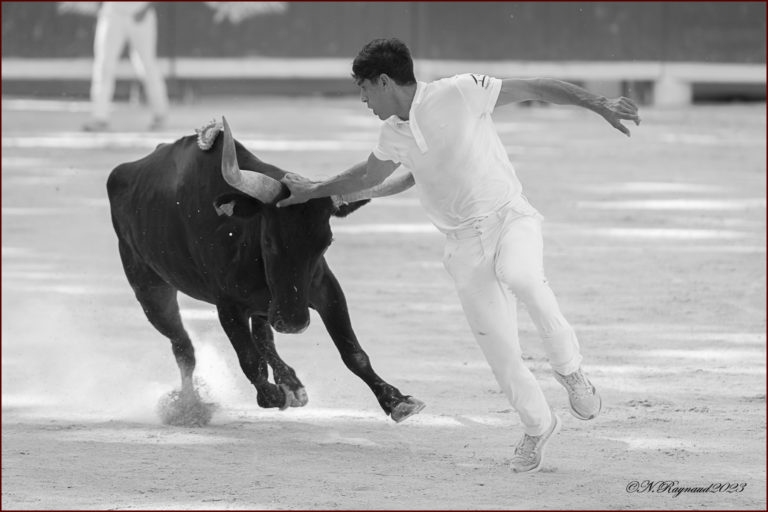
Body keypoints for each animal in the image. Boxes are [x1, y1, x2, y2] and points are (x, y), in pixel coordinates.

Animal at [105, 126, 424, 422]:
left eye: (327, 242)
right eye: (269, 240)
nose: (293, 323)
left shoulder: (326, 289)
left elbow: (353, 352)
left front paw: (395, 400)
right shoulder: (227, 305)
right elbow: (249, 359)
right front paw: (271, 395)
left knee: (262, 337)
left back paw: (291, 383)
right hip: (151, 291)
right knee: (183, 347)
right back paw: (190, 406)